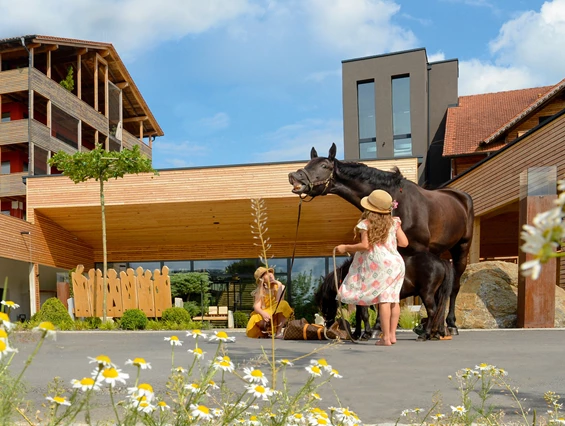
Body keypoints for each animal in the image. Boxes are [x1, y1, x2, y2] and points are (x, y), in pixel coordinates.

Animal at [288, 143, 474, 332]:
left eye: (324, 166)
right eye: (308, 163)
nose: (294, 177)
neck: (395, 201)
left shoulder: (417, 250)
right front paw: (378, 325)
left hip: (461, 249)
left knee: (454, 286)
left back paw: (449, 323)